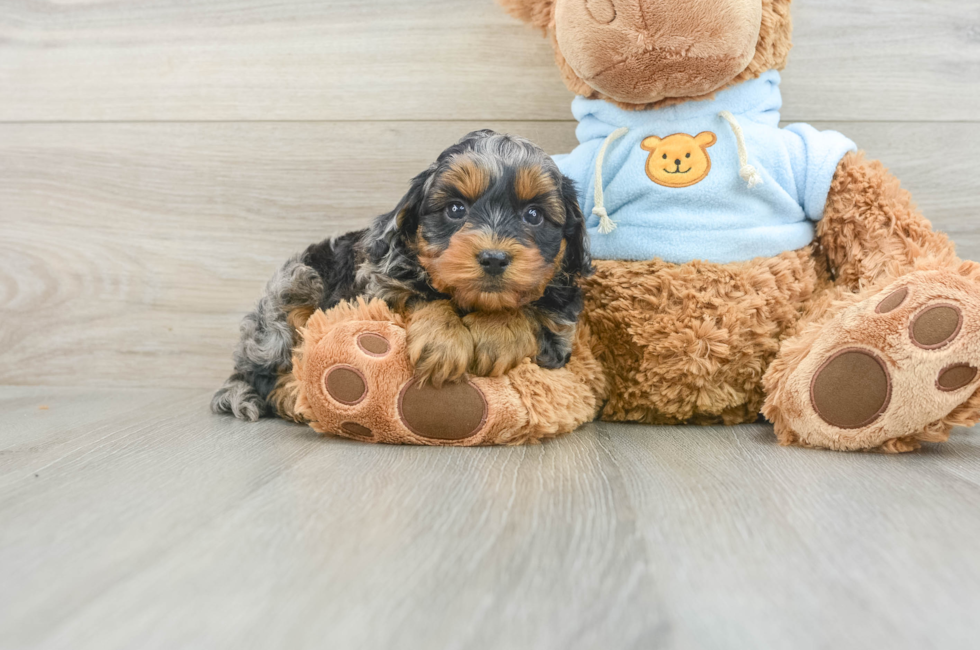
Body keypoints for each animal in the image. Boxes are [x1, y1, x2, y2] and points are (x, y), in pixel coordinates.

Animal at [213, 129, 588, 420]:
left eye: (534, 215)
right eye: (455, 209)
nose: (494, 258)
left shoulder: (559, 334)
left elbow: (531, 310)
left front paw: (498, 331)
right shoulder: (378, 282)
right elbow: (420, 295)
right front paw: (443, 340)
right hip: (291, 293)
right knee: (262, 369)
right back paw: (289, 393)